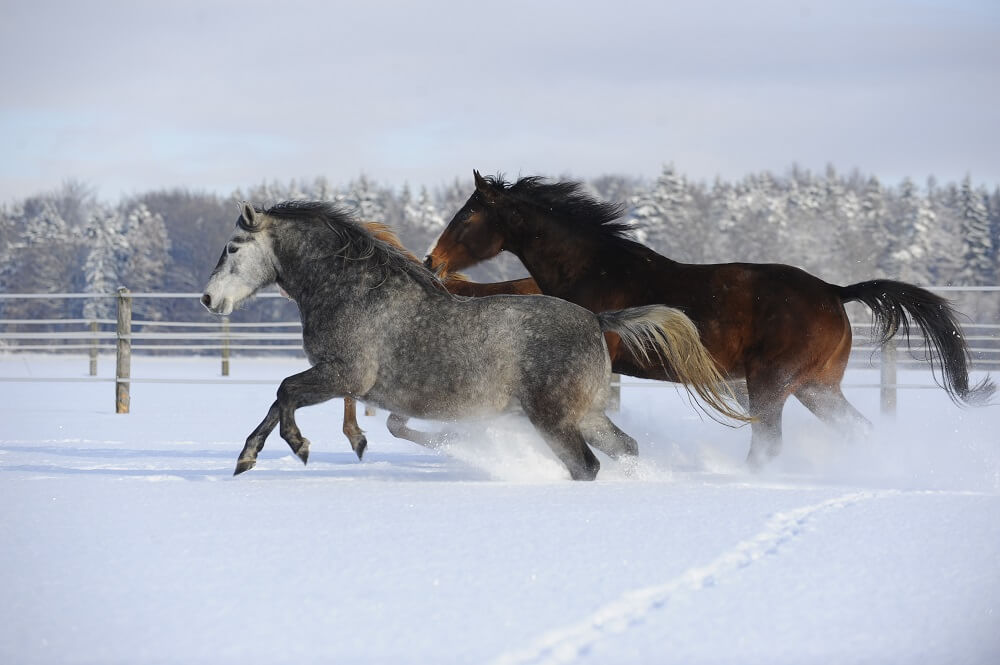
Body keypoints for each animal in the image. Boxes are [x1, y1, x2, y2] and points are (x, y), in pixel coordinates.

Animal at [201, 200, 744, 480]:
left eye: (233, 247)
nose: (208, 299)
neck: (353, 291)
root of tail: (596, 320)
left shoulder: (344, 375)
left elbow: (286, 391)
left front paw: (300, 446)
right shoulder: (345, 381)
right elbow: (281, 399)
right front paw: (246, 459)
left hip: (553, 417)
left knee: (586, 465)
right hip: (586, 413)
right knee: (625, 448)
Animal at [424, 169, 992, 464]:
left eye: (469, 216)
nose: (433, 261)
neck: (596, 270)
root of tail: (835, 292)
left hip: (771, 383)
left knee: (769, 445)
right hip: (816, 388)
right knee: (856, 431)